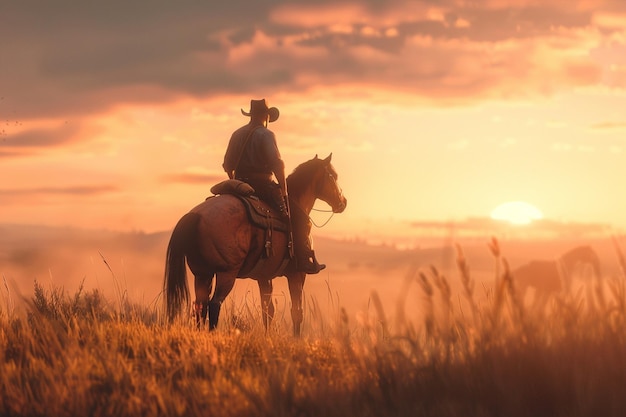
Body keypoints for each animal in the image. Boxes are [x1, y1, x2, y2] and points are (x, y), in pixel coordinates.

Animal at [161, 153, 346, 334]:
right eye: (333, 176)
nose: (343, 202)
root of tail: (196, 215)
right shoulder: (298, 274)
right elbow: (297, 312)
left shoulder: (264, 276)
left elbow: (268, 311)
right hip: (226, 273)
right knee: (214, 304)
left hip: (202, 273)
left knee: (201, 306)